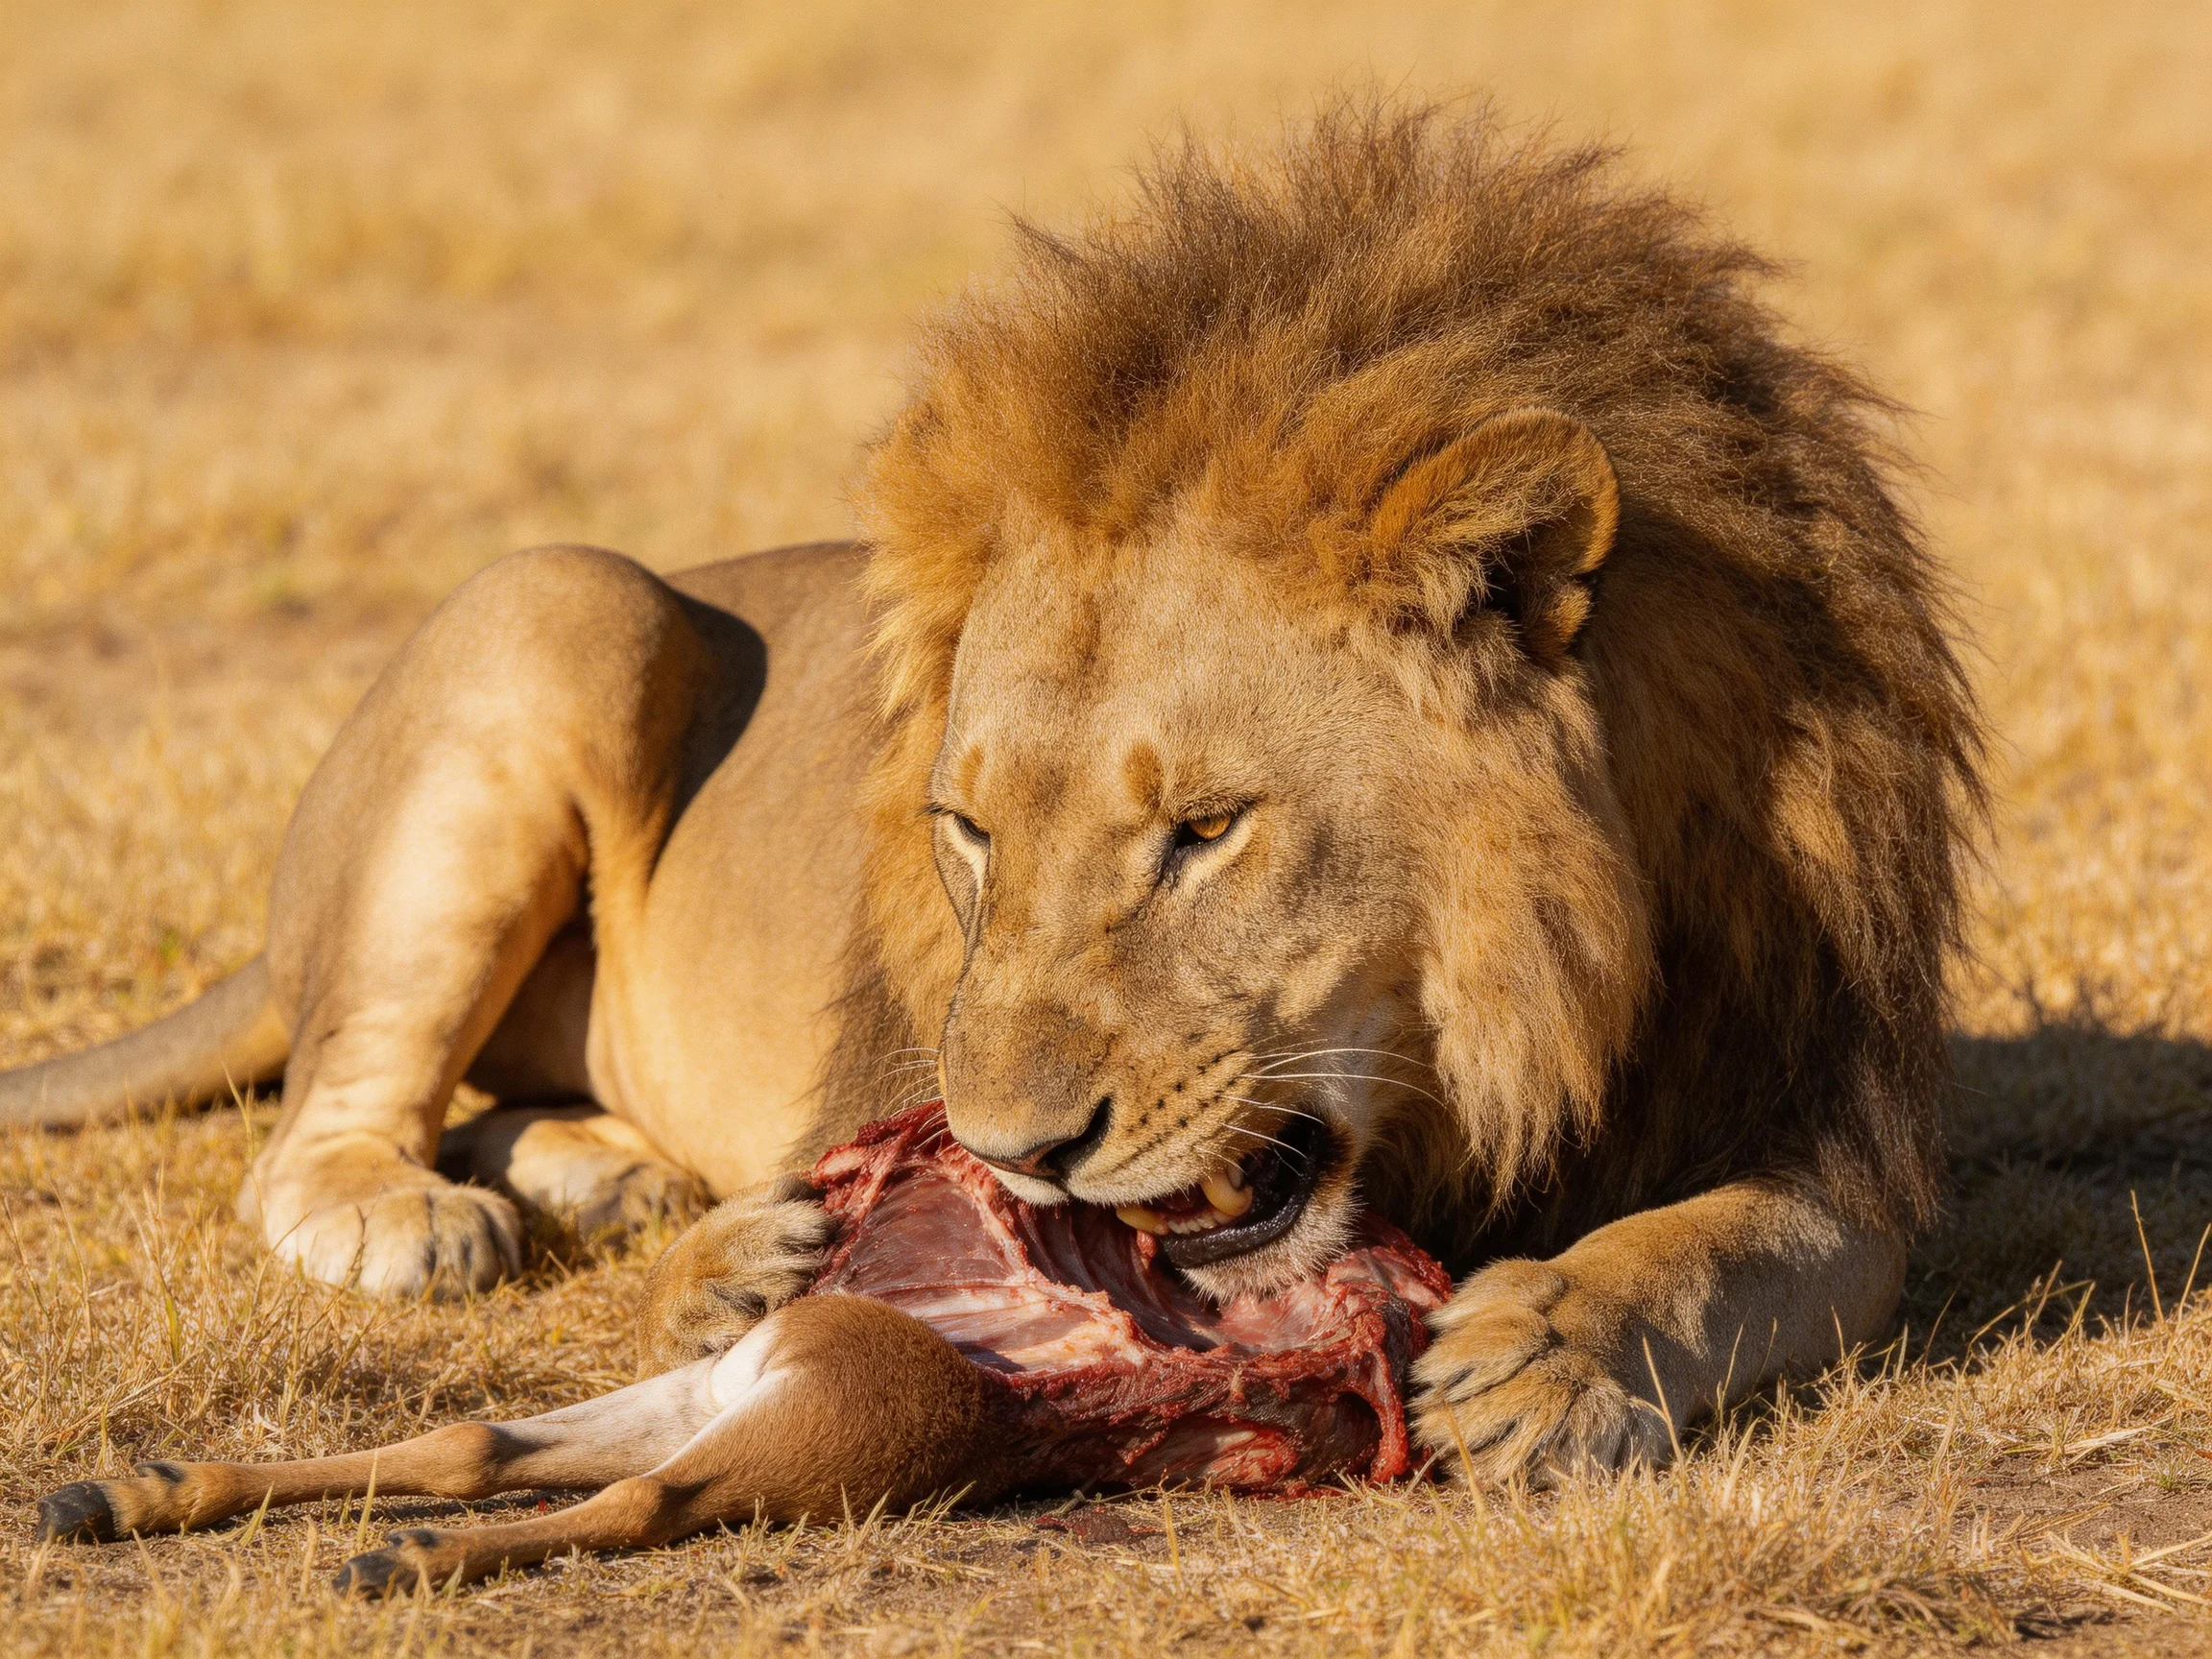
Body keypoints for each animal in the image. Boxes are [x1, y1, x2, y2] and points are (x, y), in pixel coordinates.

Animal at [0, 104, 1981, 1483]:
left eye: (1203, 831)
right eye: (965, 830)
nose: (1021, 1154)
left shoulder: (1826, 1114)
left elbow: (1741, 1243)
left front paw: (1558, 1345)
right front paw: (734, 1268)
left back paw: (609, 1170)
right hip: (563, 601)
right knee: (321, 1122)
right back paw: (443, 1209)